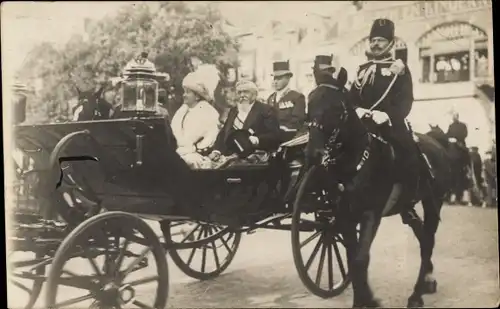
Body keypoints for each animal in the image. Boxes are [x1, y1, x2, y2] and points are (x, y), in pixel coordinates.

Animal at [306, 81, 452, 306]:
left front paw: (368, 300)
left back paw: (416, 295)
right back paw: (428, 282)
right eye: (309, 103)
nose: (313, 154)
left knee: (428, 241)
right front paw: (363, 299)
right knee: (421, 235)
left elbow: (360, 259)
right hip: (407, 207)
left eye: (336, 109)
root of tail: (437, 143)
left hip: (433, 202)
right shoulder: (344, 217)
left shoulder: (370, 214)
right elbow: (352, 259)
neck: (356, 164)